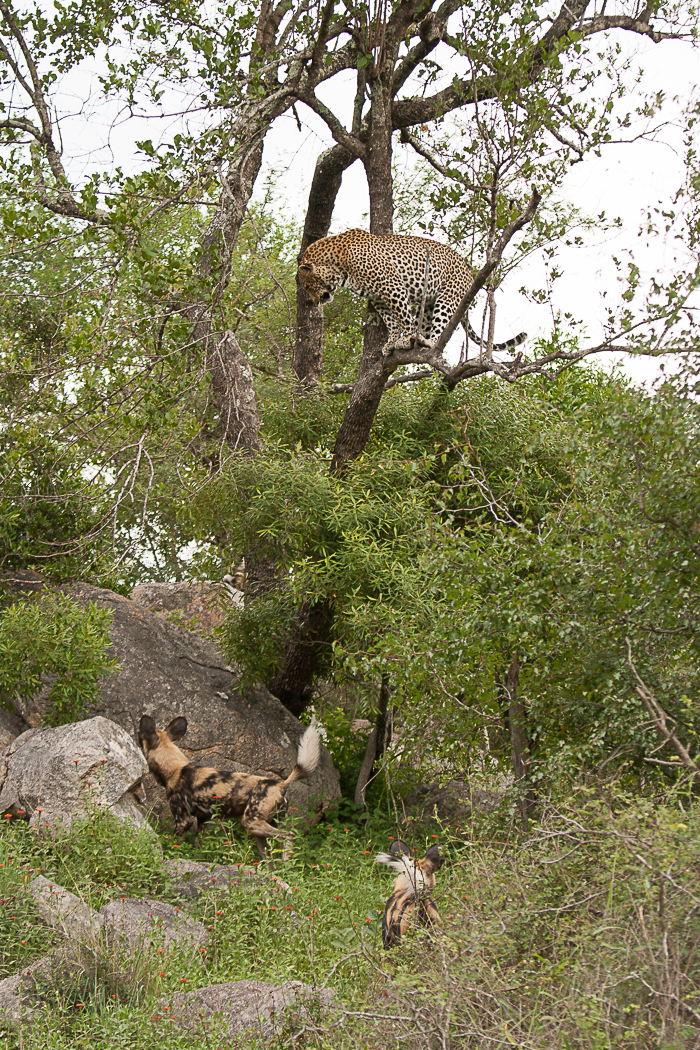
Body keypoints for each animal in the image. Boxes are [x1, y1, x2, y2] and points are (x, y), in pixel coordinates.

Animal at [297, 228, 526, 355]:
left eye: (307, 286)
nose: (316, 302)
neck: (340, 266)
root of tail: (469, 270)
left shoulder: (392, 287)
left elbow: (403, 316)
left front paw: (405, 338)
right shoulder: (378, 298)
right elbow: (391, 321)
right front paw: (391, 342)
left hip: (447, 298)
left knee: (439, 330)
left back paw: (428, 342)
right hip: (430, 304)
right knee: (424, 323)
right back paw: (420, 339)